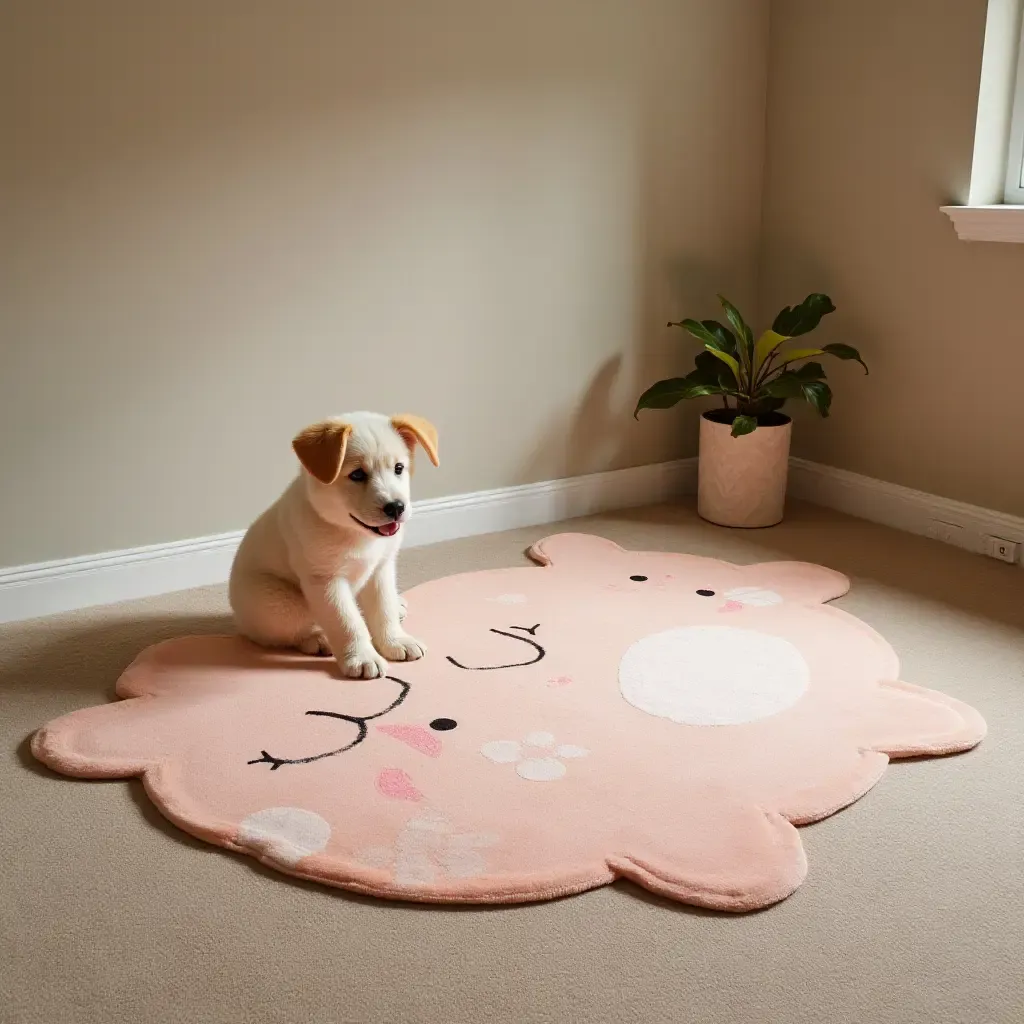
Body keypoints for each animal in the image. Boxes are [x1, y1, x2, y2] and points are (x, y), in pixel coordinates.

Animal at [230, 407, 438, 679]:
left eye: (399, 468)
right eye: (357, 474)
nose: (396, 507)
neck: (355, 534)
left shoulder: (381, 570)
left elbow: (383, 610)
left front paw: (395, 641)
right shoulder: (326, 581)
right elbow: (347, 622)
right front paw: (362, 657)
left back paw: (398, 605)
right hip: (277, 602)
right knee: (290, 630)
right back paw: (317, 640)